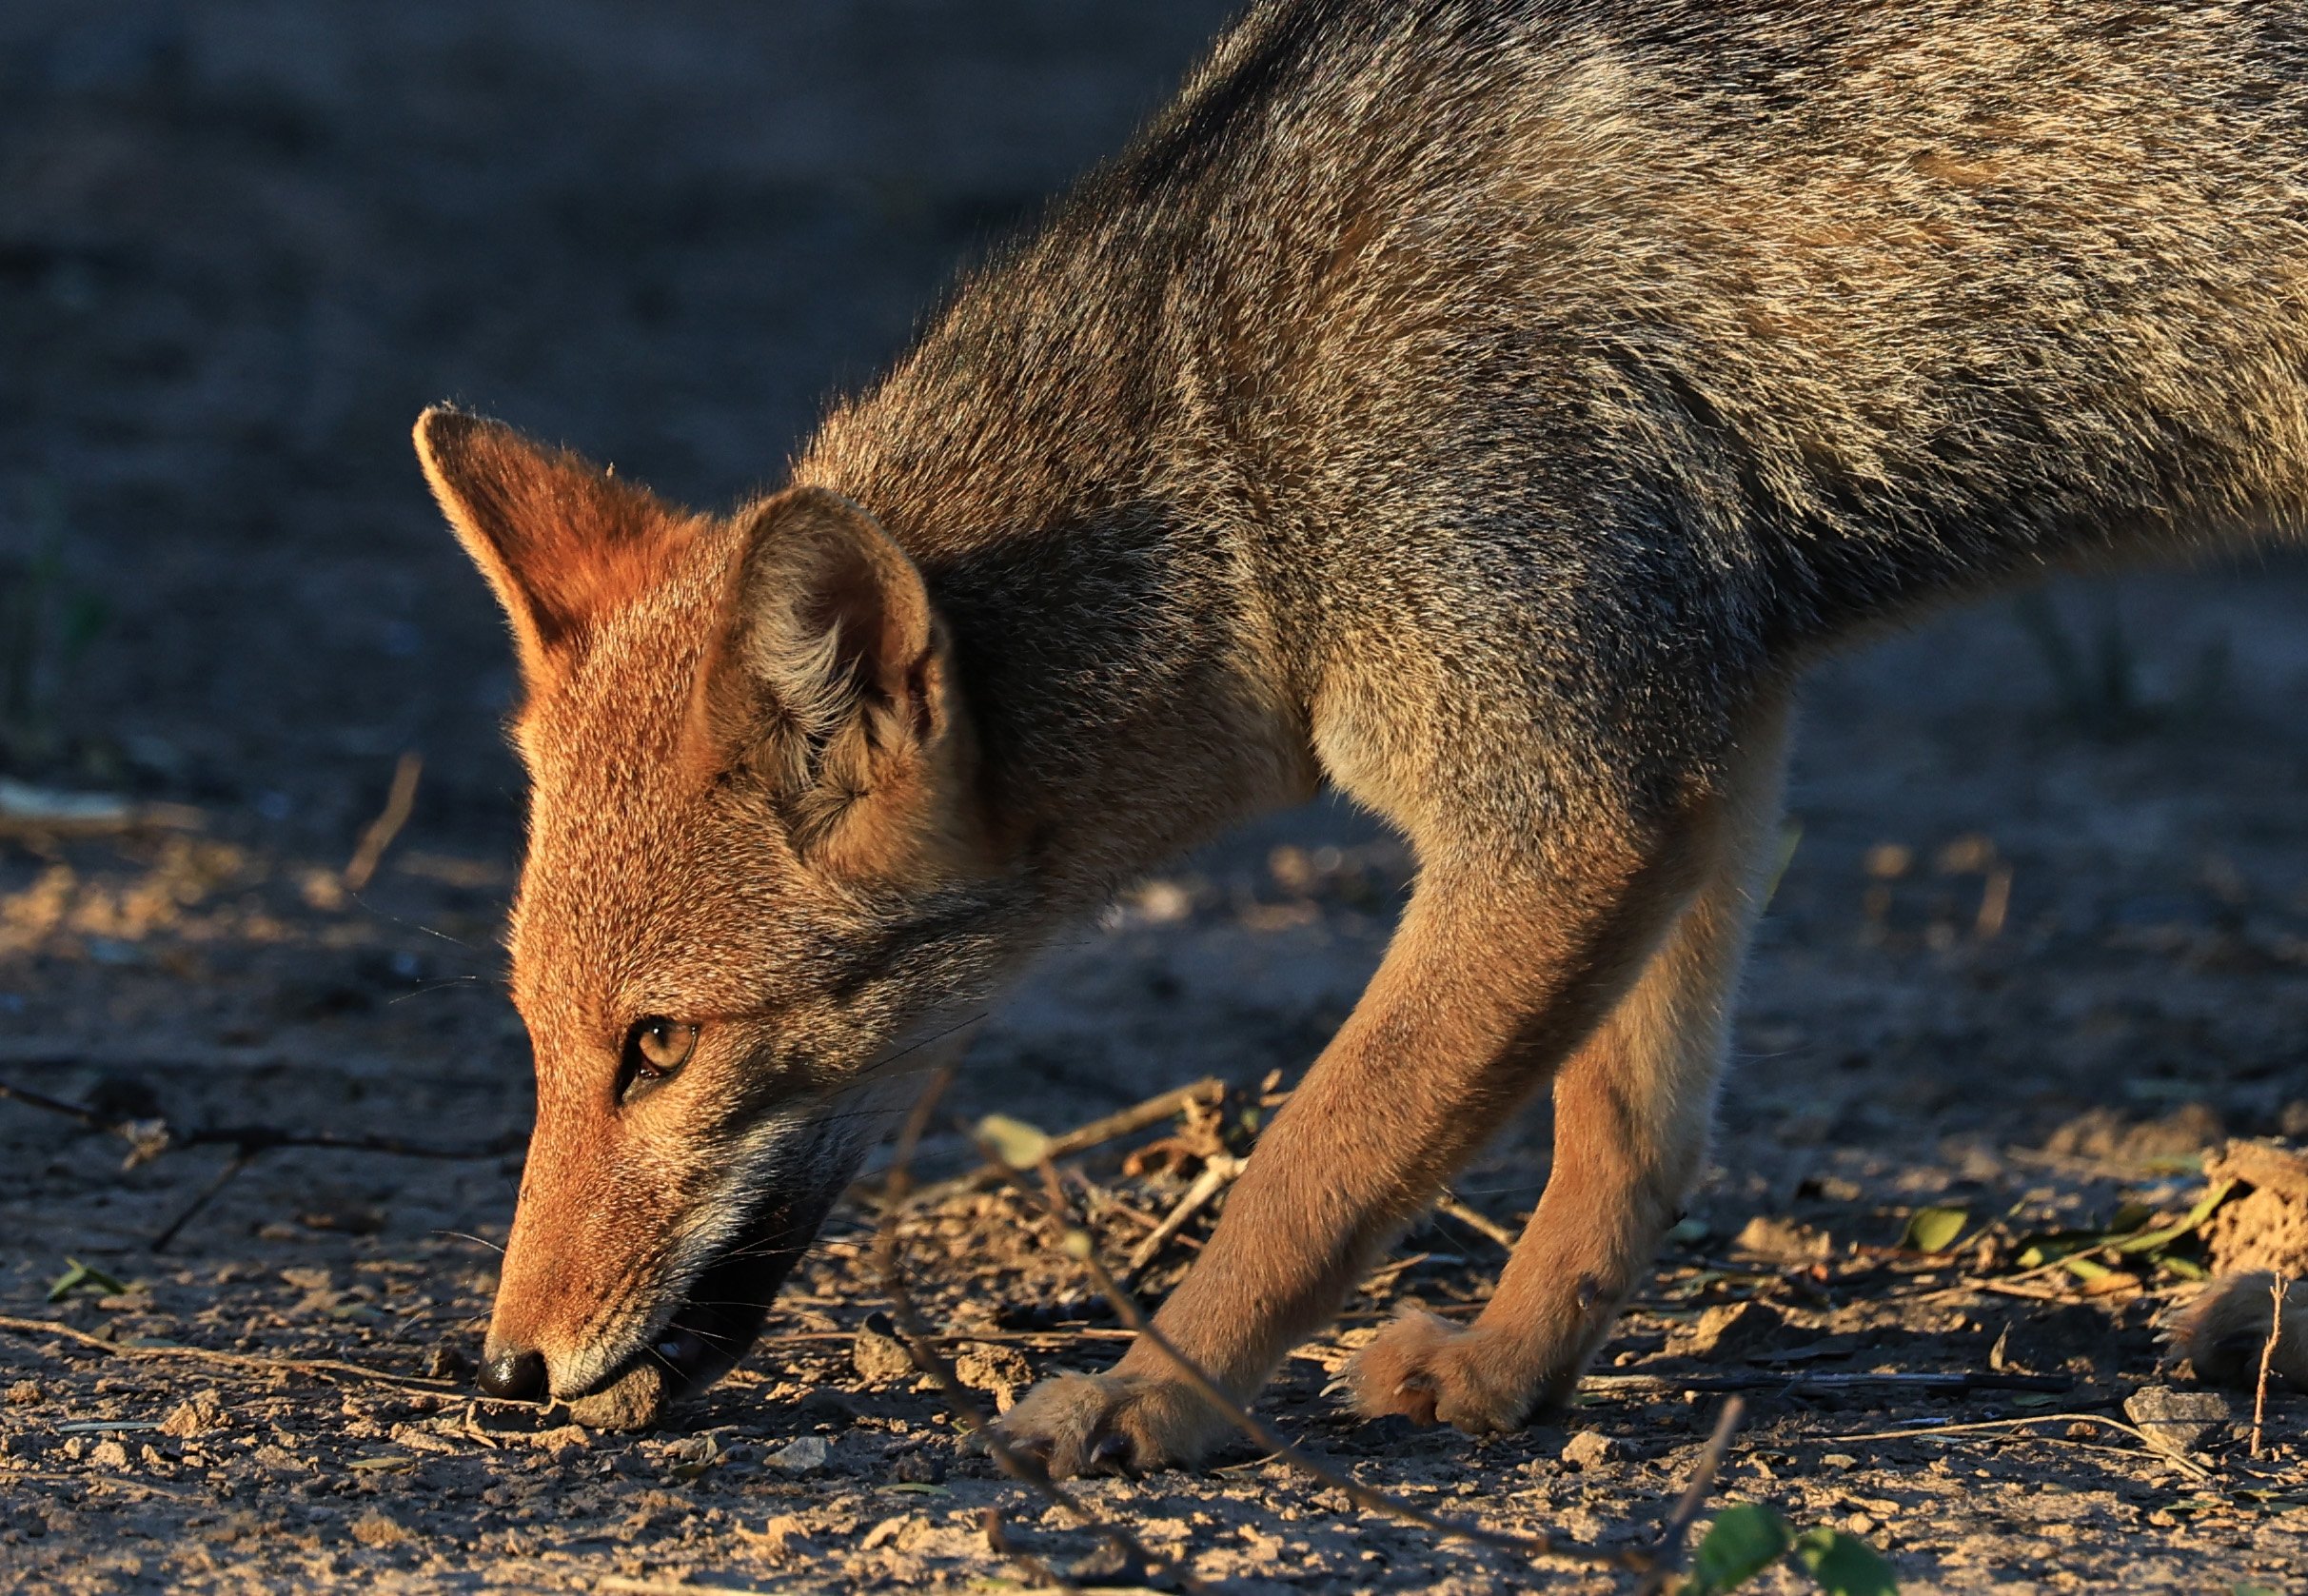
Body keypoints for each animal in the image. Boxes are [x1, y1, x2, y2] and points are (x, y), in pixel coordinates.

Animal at [419, 0, 2308, 1476]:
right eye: (543, 1043)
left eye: (658, 1048)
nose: (505, 1366)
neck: (1236, 422)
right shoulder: (1695, 729)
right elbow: (1629, 1130)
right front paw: (1506, 1367)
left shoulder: (1568, 802)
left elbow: (1316, 1156)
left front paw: (1149, 1398)